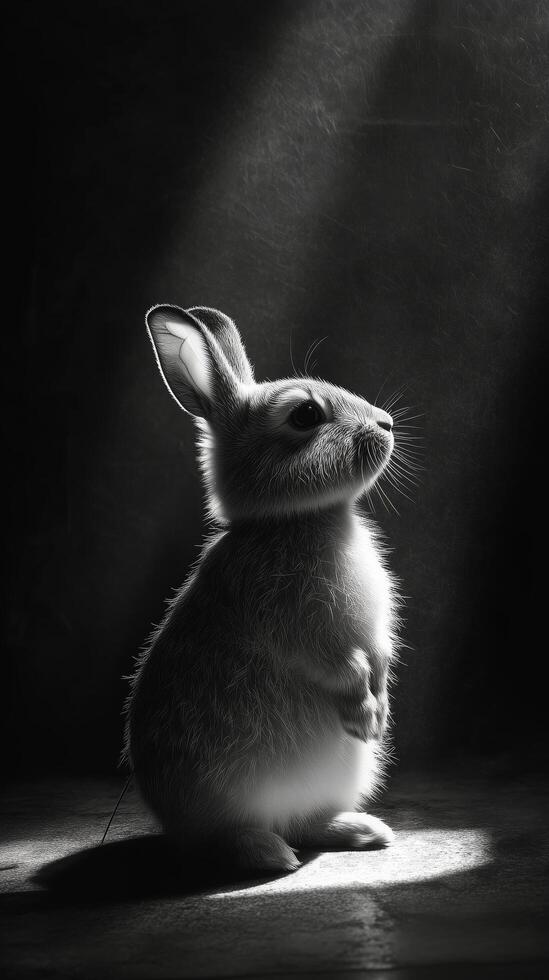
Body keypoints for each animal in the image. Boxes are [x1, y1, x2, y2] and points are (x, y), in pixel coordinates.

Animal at [124, 303, 400, 875]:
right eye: (305, 416)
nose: (386, 423)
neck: (300, 519)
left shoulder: (374, 632)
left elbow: (380, 654)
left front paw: (380, 712)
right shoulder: (293, 621)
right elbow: (335, 663)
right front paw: (364, 713)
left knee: (306, 823)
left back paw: (361, 830)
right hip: (221, 797)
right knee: (226, 838)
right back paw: (270, 854)